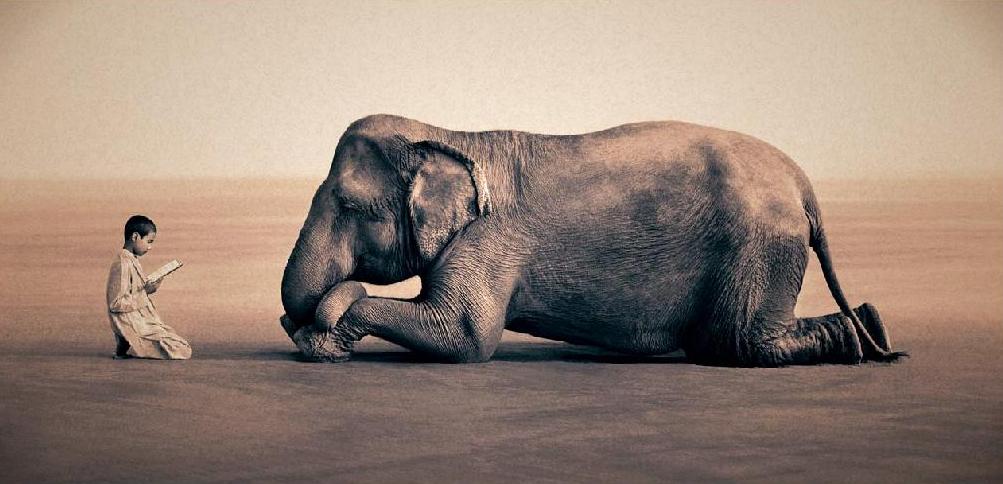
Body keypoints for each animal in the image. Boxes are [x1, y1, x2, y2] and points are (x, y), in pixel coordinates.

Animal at [279, 114, 905, 366]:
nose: (294, 318)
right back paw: (871, 329)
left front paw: (326, 329)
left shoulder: (492, 239)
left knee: (739, 344)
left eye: (349, 206)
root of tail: (804, 184)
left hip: (760, 244)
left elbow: (464, 337)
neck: (447, 134)